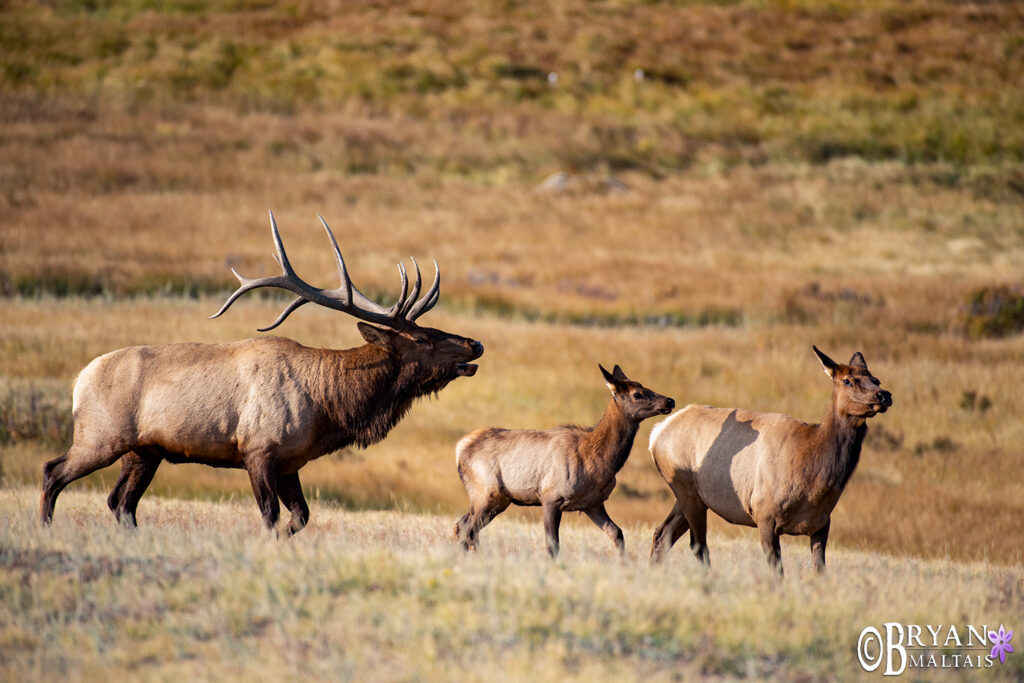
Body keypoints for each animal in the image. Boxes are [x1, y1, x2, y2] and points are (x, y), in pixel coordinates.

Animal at [40, 214, 483, 532]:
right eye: (423, 338)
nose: (474, 344)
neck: (328, 408)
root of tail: (79, 380)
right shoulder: (258, 449)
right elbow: (270, 514)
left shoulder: (290, 462)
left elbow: (300, 517)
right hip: (101, 435)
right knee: (53, 472)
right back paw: (44, 528)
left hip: (143, 451)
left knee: (121, 503)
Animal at [452, 366, 675, 557]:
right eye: (637, 394)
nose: (670, 401)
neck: (598, 461)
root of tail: (460, 447)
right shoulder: (551, 496)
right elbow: (553, 545)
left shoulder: (593, 502)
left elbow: (617, 533)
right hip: (486, 492)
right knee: (466, 528)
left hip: (498, 499)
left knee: (462, 526)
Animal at [651, 348, 892, 577]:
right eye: (847, 380)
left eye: (876, 379)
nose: (884, 395)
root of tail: (656, 434)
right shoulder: (765, 516)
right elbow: (777, 573)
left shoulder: (822, 523)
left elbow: (820, 571)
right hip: (687, 491)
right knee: (697, 545)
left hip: (690, 497)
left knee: (662, 533)